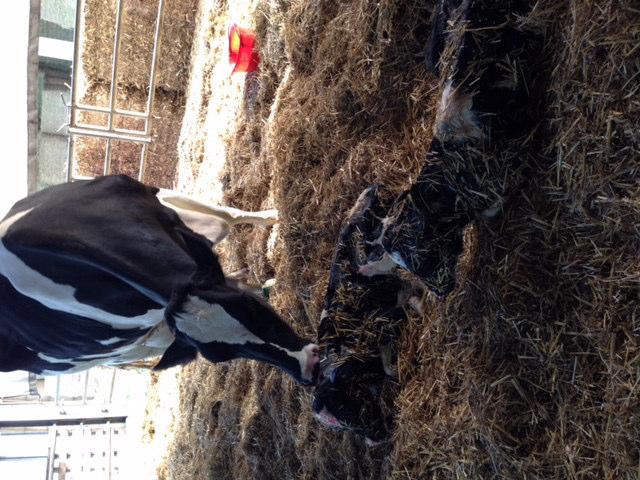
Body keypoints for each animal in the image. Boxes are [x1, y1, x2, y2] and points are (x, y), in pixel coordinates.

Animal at [0, 174, 320, 384]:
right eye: (219, 356)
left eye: (249, 307)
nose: (307, 366)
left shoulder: (158, 201)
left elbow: (226, 217)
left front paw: (274, 217)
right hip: (136, 348)